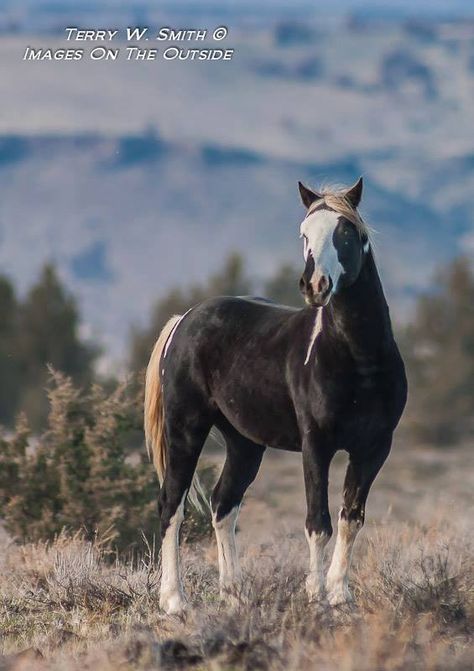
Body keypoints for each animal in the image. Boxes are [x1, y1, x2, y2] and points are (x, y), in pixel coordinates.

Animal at [144, 177, 408, 616]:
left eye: (346, 232)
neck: (359, 358)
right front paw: (316, 597)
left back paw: (234, 595)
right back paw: (174, 600)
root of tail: (184, 320)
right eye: (303, 234)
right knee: (171, 506)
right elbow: (318, 522)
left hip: (244, 444)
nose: (314, 286)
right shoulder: (316, 445)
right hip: (185, 429)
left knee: (223, 505)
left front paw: (340, 596)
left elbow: (351, 517)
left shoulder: (374, 448)